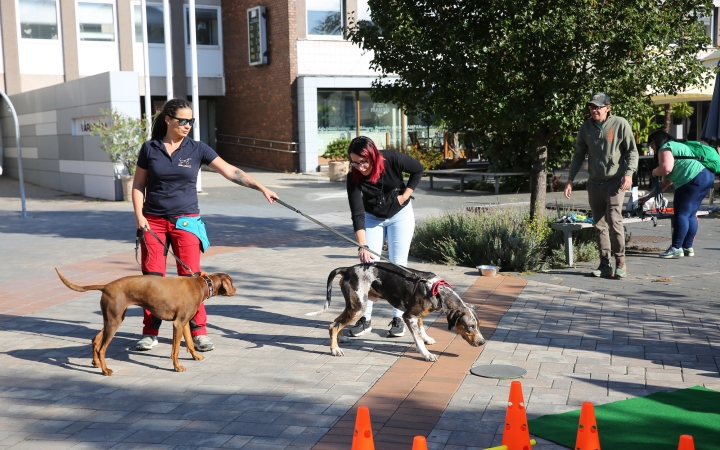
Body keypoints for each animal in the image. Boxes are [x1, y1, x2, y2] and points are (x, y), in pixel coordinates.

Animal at [57, 268, 236, 374]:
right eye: (232, 282)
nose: (235, 290)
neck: (202, 284)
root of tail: (106, 286)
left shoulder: (183, 323)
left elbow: (190, 344)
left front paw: (196, 356)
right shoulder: (177, 324)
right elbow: (175, 350)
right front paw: (177, 367)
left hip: (112, 319)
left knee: (95, 339)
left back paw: (95, 363)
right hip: (114, 321)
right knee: (102, 348)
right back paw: (105, 370)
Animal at [306, 264, 486, 362]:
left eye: (478, 325)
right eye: (470, 326)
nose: (483, 342)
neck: (437, 291)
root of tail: (348, 269)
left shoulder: (417, 316)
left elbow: (421, 330)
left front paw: (426, 339)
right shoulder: (409, 316)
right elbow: (417, 338)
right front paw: (426, 354)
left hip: (353, 306)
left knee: (336, 322)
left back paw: (341, 339)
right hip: (358, 307)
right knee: (333, 325)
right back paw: (334, 349)